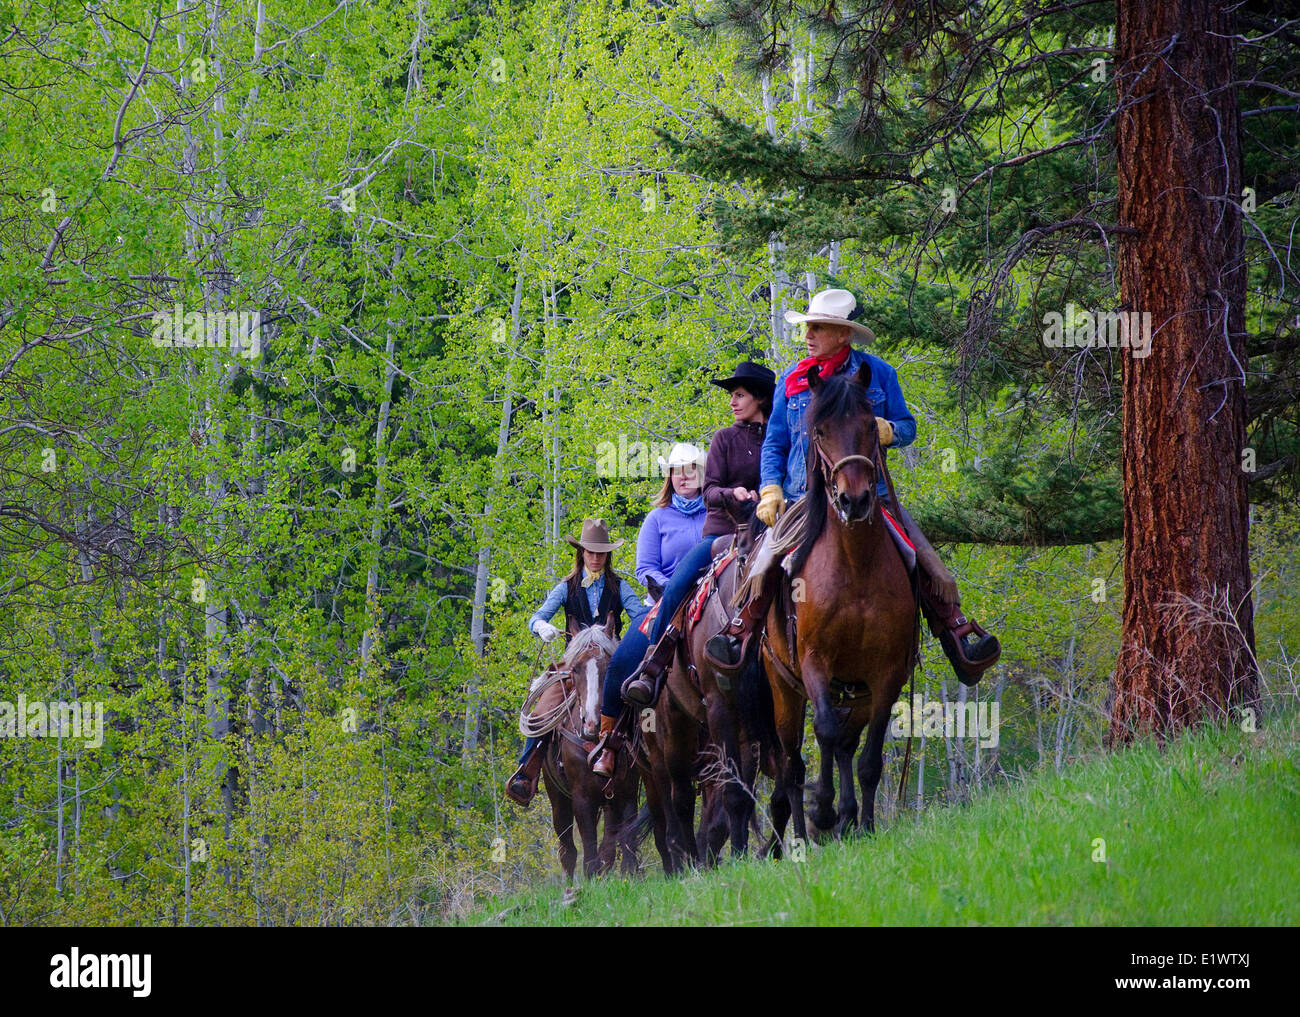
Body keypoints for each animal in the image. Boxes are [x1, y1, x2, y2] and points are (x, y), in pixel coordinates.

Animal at [535, 613, 642, 884]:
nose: (592, 723)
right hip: (557, 796)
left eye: (610, 666)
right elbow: (589, 852)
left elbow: (624, 839)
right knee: (567, 849)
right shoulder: (582, 798)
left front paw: (629, 875)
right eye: (575, 669)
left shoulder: (626, 790)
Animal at [759, 366, 920, 853]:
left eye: (870, 425)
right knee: (793, 761)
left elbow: (868, 758)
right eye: (820, 431)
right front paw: (824, 812)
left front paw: (862, 823)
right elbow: (825, 733)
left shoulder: (886, 674)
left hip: (856, 690)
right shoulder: (814, 662)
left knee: (846, 747)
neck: (855, 566)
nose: (855, 500)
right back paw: (802, 833)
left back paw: (848, 818)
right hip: (784, 689)